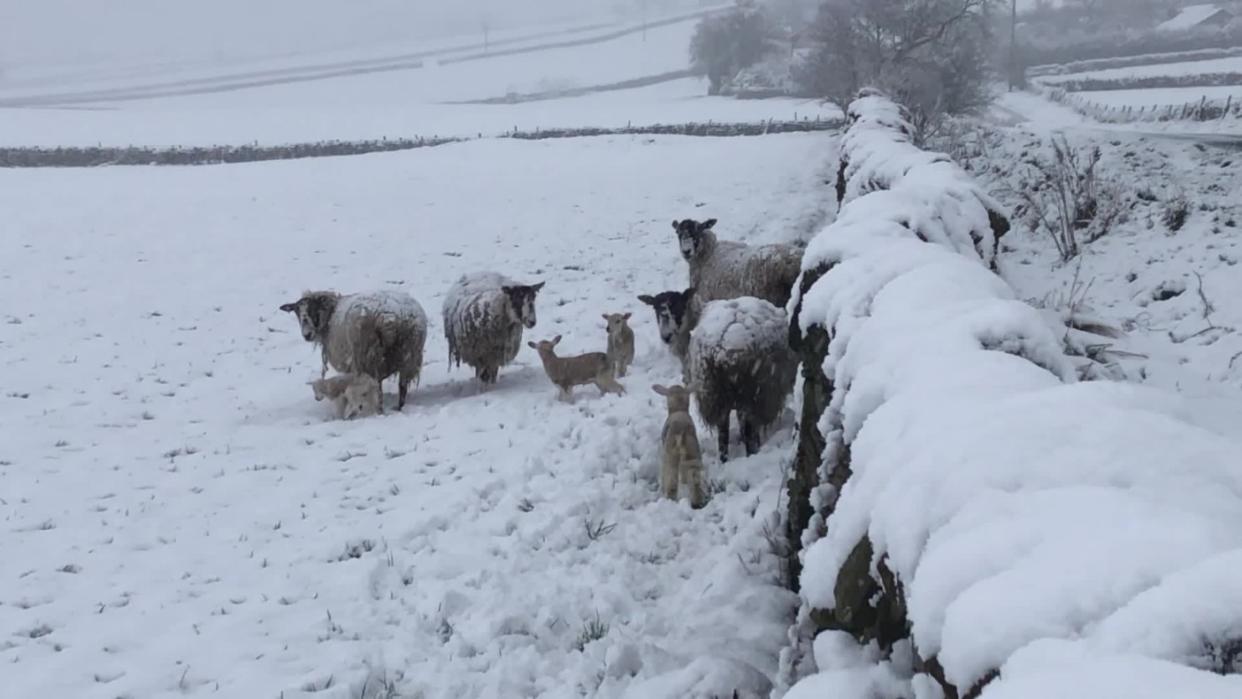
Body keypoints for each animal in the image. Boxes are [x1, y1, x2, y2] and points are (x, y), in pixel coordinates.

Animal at [690, 297, 794, 461]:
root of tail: (719, 351)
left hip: (714, 394)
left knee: (723, 432)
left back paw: (724, 460)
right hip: (750, 393)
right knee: (749, 430)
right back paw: (752, 454)